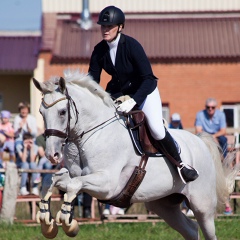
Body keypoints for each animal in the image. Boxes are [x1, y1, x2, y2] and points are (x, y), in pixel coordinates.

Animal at [32, 70, 237, 240]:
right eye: (41, 112)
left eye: (62, 112)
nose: (52, 154)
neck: (90, 135)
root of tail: (201, 142)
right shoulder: (78, 176)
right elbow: (54, 181)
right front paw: (46, 221)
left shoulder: (108, 185)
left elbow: (73, 185)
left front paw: (68, 222)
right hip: (163, 205)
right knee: (191, 229)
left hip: (202, 205)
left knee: (206, 230)